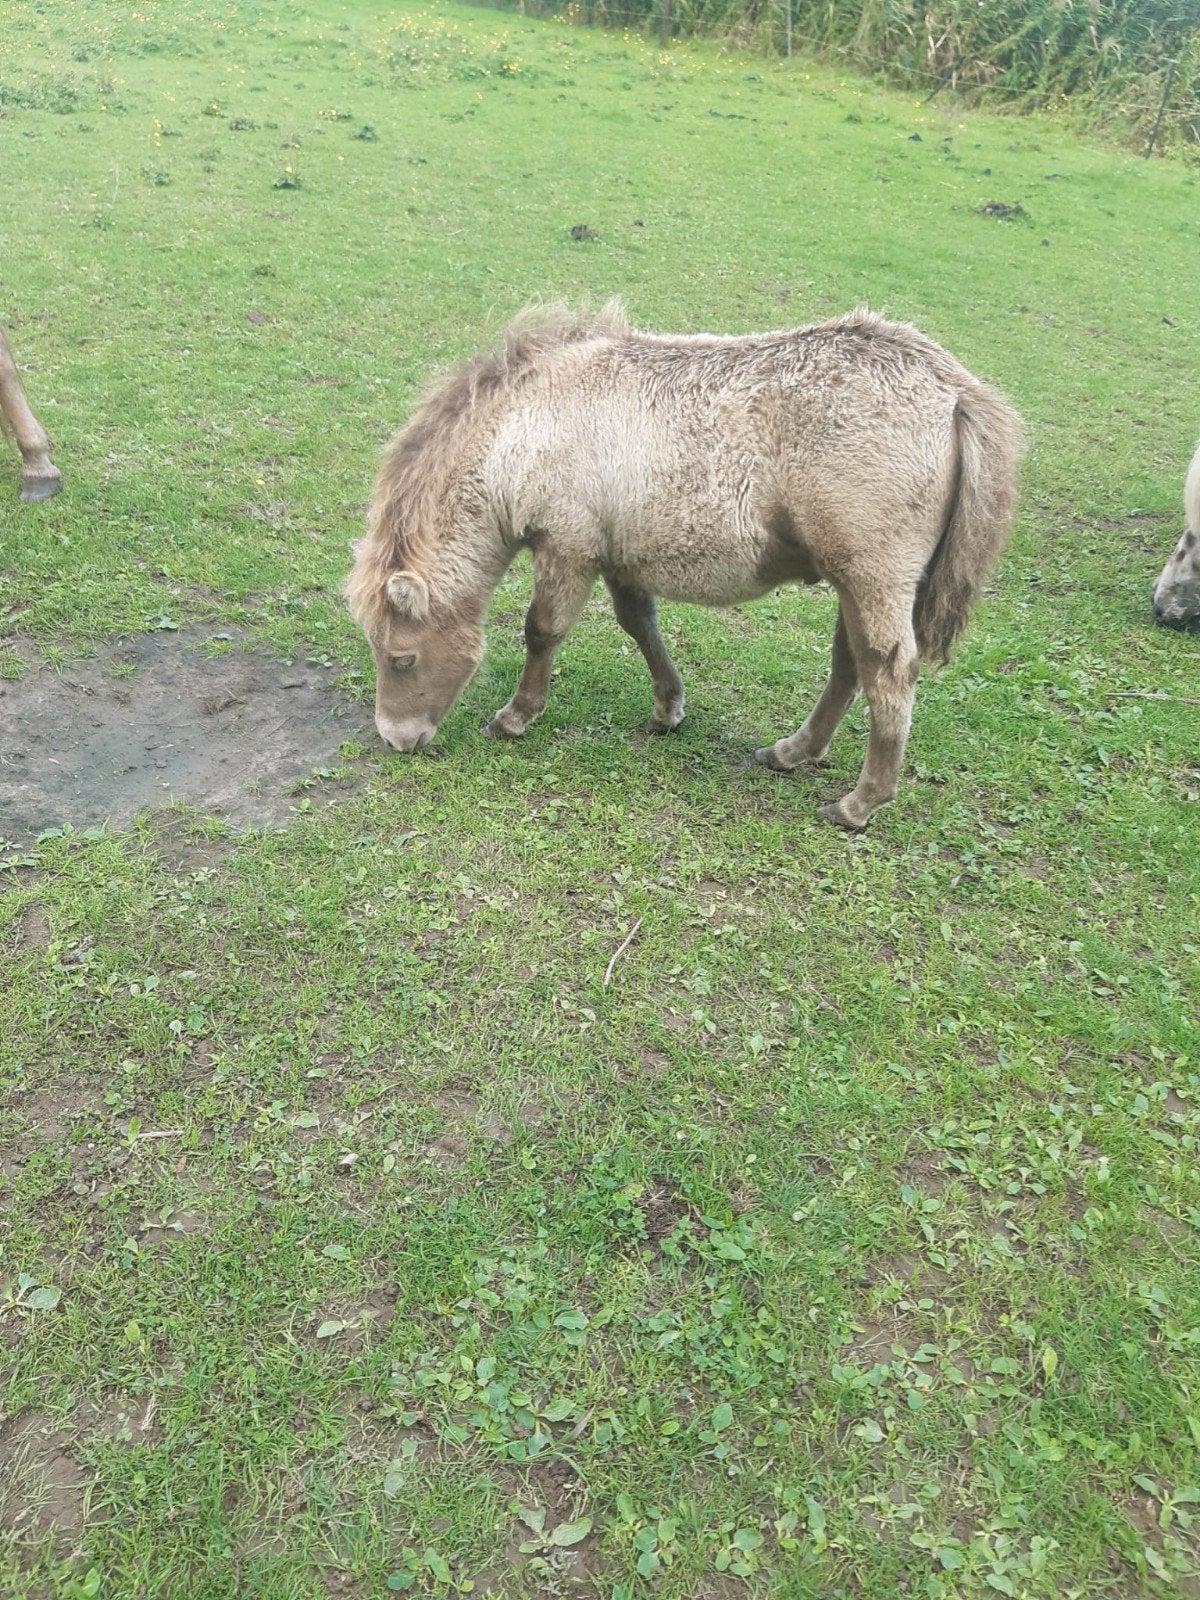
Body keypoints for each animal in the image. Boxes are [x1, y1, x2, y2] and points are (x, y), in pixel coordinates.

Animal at [345, 302, 1023, 829]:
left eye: (401, 658)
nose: (397, 739)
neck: (528, 423)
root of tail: (953, 390)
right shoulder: (617, 555)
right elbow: (640, 625)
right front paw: (668, 709)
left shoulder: (568, 547)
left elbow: (542, 631)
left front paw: (516, 717)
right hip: (856, 583)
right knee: (850, 666)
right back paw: (793, 752)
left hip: (872, 577)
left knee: (889, 672)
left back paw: (861, 802)